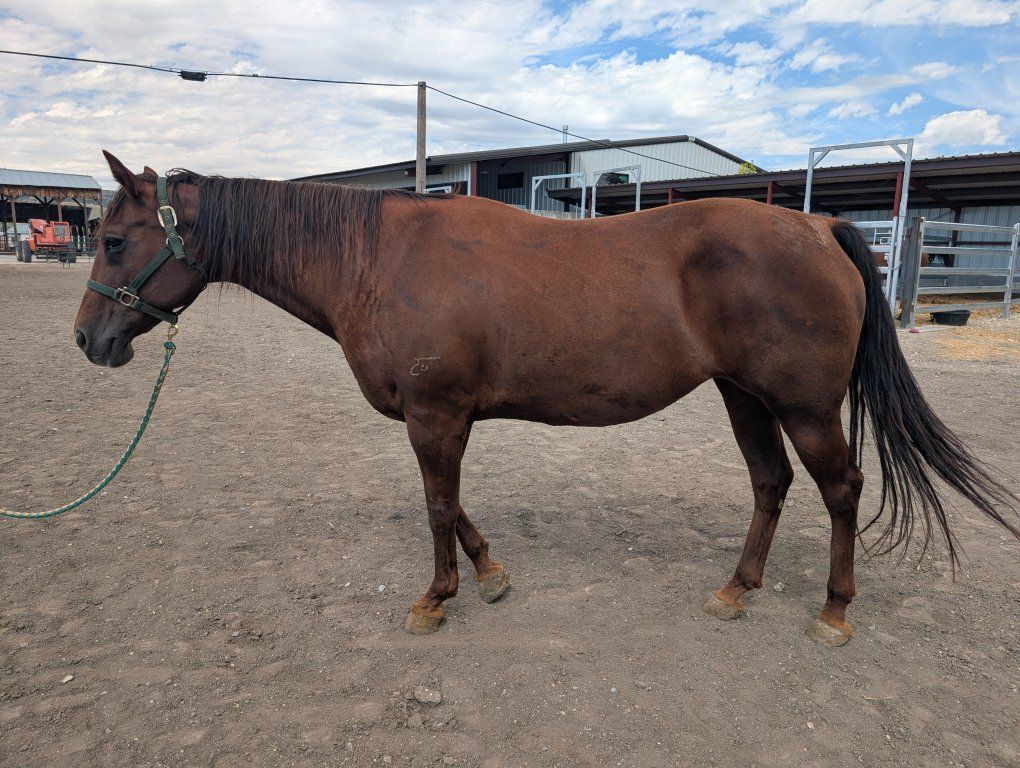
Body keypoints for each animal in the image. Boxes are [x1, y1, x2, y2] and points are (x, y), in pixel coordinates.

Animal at [74, 152, 1018, 647]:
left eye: (115, 240)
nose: (90, 341)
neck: (379, 260)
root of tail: (815, 224)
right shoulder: (440, 416)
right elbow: (452, 505)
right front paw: (489, 576)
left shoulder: (435, 415)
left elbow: (435, 504)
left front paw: (437, 598)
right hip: (745, 396)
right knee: (771, 485)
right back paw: (735, 589)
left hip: (804, 405)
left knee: (840, 490)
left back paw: (832, 610)